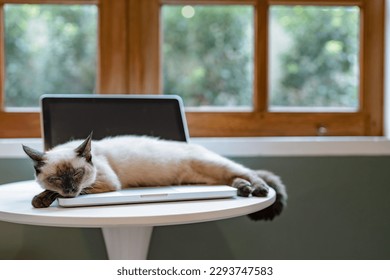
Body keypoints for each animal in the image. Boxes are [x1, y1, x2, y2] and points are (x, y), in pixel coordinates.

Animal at [23, 133, 286, 221]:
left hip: (213, 164)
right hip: (208, 177)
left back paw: (257, 189)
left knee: (249, 172)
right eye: (57, 178)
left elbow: (55, 193)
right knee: (232, 178)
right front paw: (41, 199)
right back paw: (243, 189)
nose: (69, 190)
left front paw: (41, 199)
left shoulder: (106, 182)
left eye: (77, 174)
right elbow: (46, 191)